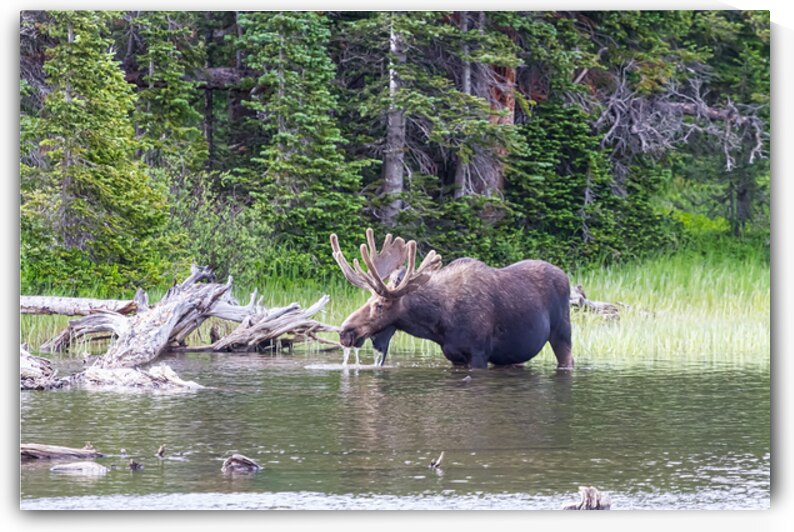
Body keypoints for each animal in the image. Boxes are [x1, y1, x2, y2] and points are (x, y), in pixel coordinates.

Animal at [330, 229, 574, 369]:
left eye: (379, 305)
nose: (344, 332)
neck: (437, 324)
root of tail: (566, 276)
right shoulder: (454, 355)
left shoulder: (478, 353)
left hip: (562, 333)